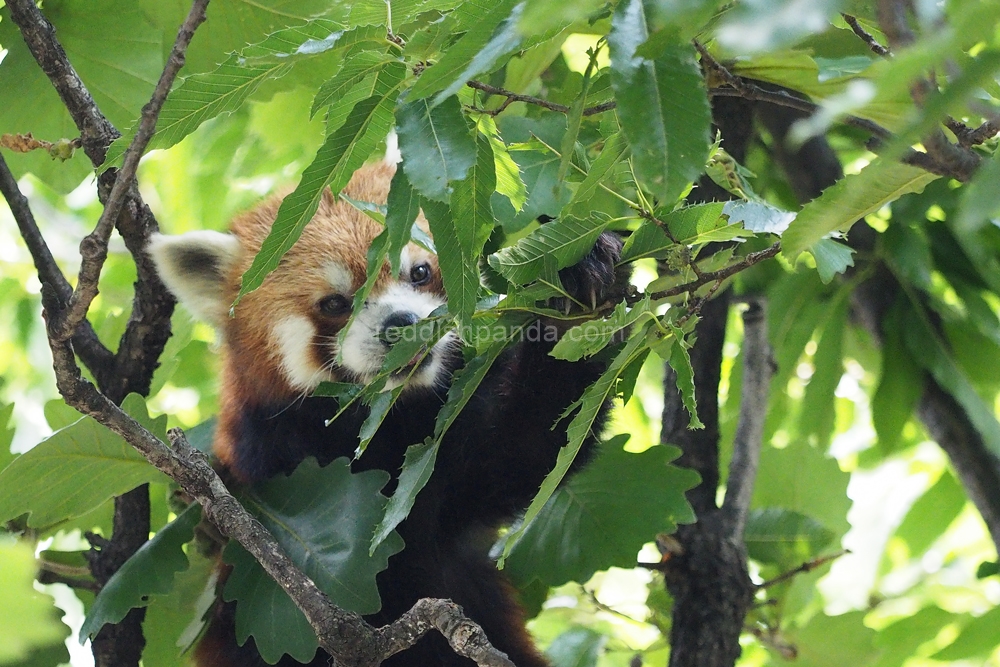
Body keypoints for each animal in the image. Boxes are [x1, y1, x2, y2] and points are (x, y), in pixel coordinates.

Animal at [148, 163, 624, 667]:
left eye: (419, 271)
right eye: (335, 303)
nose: (402, 325)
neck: (387, 423)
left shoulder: (451, 470)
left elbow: (528, 448)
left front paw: (578, 288)